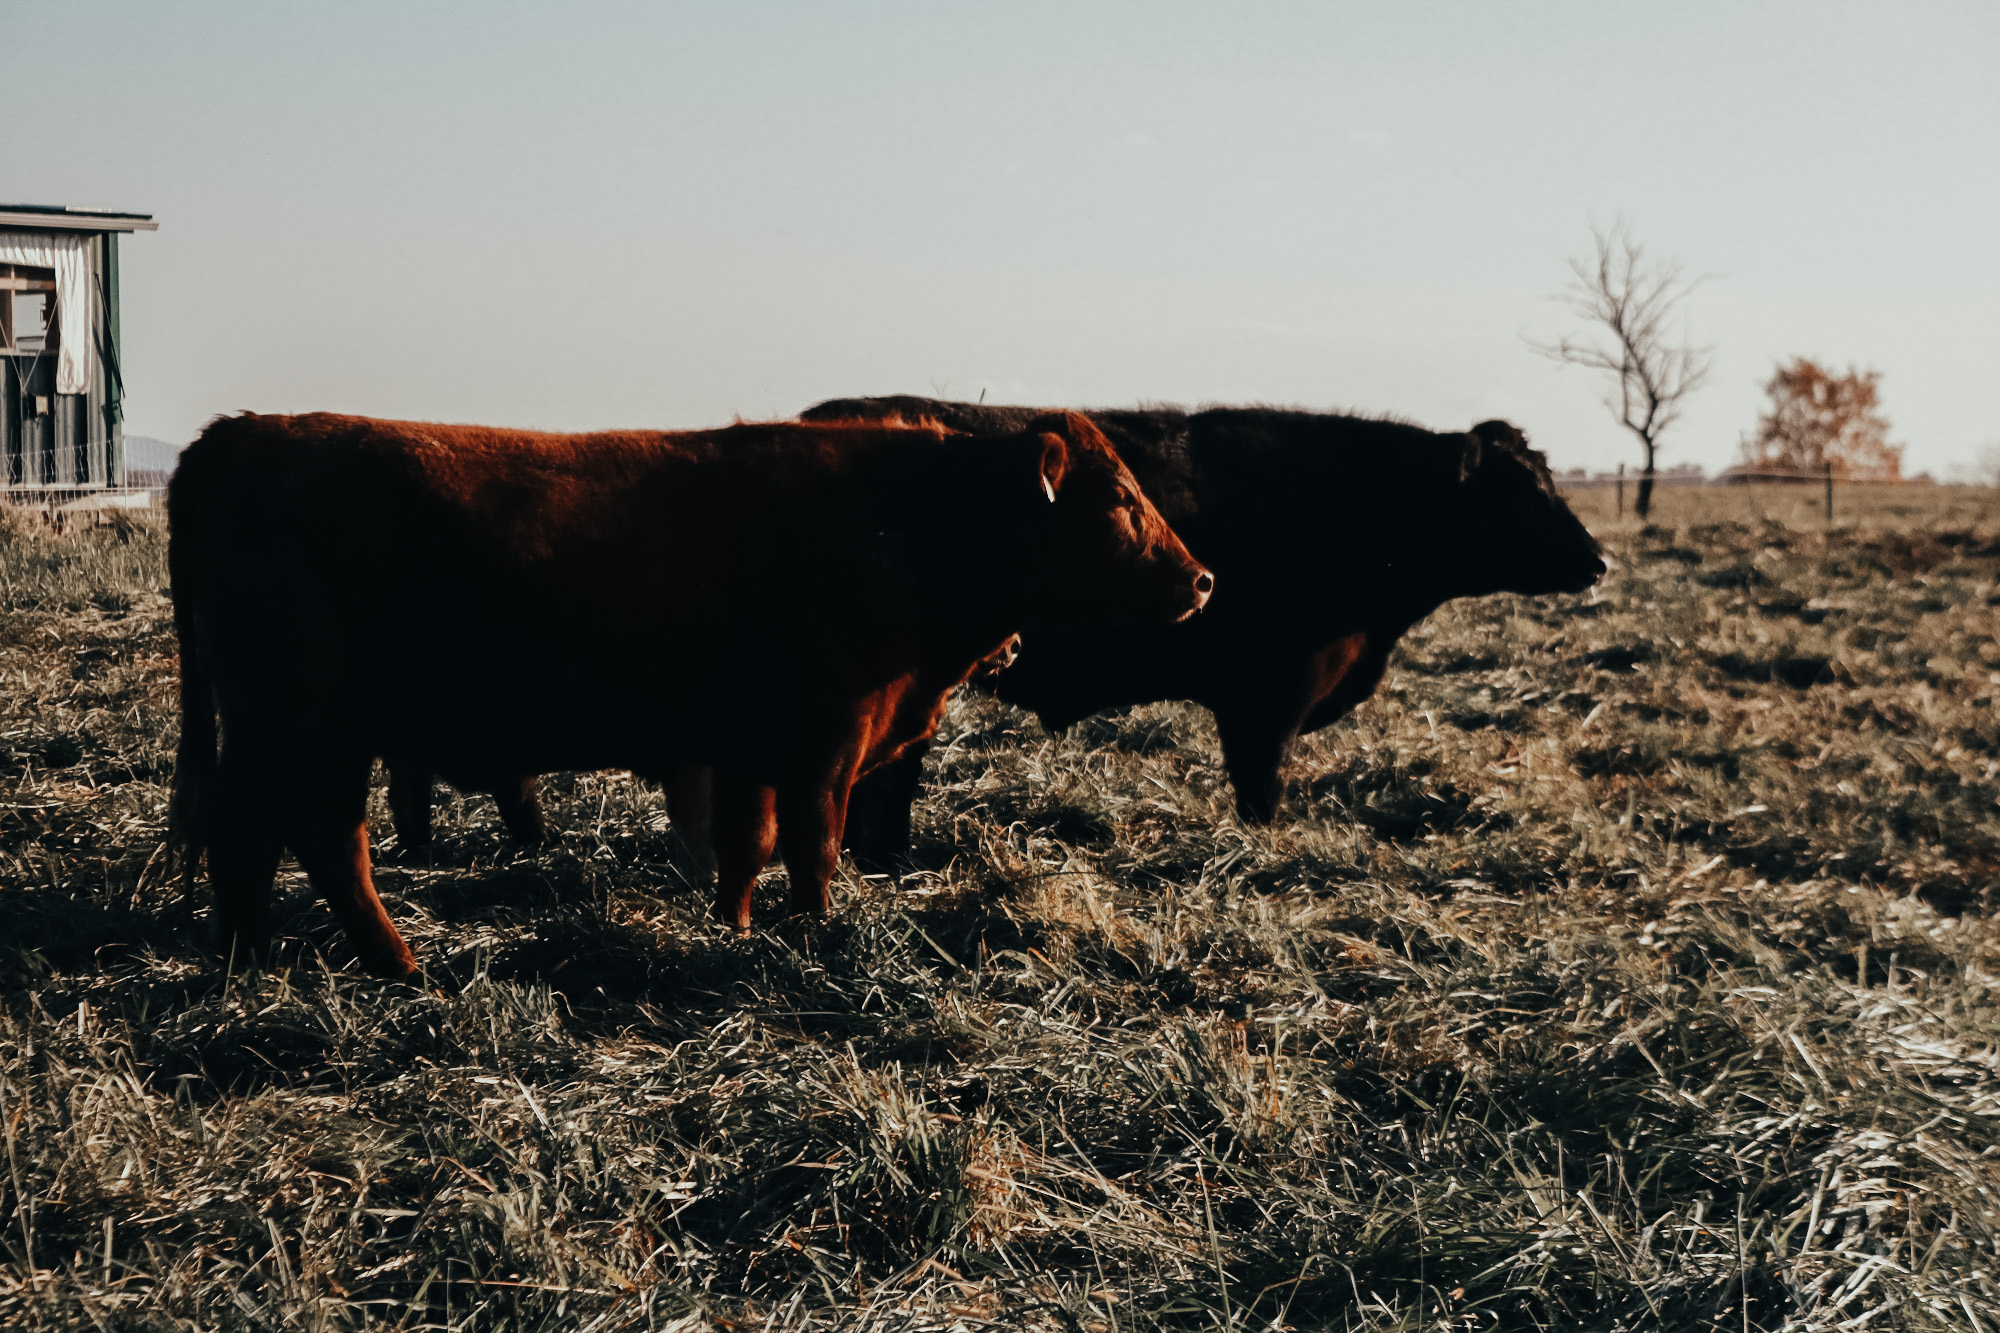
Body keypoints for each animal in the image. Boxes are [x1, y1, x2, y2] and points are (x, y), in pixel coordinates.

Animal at [169, 412, 1211, 979]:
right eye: (1121, 499)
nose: (1200, 580)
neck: (905, 523)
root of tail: (234, 435)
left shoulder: (750, 746)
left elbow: (746, 844)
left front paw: (737, 927)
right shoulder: (824, 743)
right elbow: (814, 846)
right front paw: (815, 933)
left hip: (291, 732)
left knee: (263, 838)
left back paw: (254, 957)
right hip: (304, 726)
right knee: (309, 838)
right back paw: (386, 963)